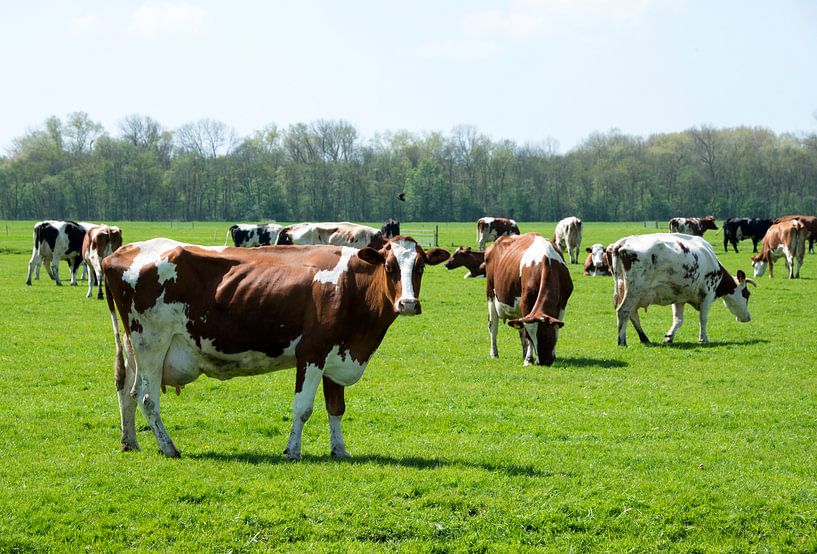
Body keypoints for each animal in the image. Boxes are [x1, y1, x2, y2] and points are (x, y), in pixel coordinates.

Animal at [102, 236, 450, 459]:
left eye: (420, 266)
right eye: (389, 266)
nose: (408, 303)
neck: (350, 286)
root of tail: (122, 252)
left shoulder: (337, 354)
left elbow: (336, 408)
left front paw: (340, 450)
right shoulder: (312, 352)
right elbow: (303, 407)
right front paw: (293, 450)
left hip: (135, 347)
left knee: (126, 390)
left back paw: (130, 442)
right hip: (151, 342)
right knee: (147, 397)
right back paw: (169, 448)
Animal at [485, 233, 573, 366]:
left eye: (548, 335)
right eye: (531, 336)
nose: (544, 361)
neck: (547, 261)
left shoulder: (563, 304)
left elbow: (557, 329)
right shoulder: (526, 302)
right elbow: (526, 334)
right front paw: (528, 360)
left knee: (519, 328)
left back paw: (523, 353)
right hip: (491, 295)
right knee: (493, 326)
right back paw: (494, 354)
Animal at [608, 233, 754, 347]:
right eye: (747, 294)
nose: (748, 317)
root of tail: (620, 244)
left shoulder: (679, 298)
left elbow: (678, 320)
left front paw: (669, 337)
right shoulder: (708, 293)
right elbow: (703, 318)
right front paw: (703, 338)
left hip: (625, 290)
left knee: (633, 314)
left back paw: (644, 338)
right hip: (634, 291)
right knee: (623, 311)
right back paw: (622, 342)